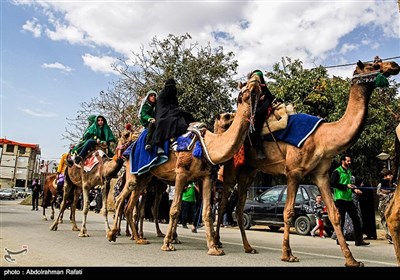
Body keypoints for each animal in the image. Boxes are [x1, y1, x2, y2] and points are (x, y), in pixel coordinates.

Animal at [107, 75, 262, 256]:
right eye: (244, 87)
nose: (256, 79)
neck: (208, 145)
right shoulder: (181, 173)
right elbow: (174, 210)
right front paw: (167, 244)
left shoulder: (206, 177)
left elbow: (207, 212)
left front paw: (213, 247)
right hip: (134, 171)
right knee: (123, 199)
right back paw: (113, 234)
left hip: (146, 178)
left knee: (132, 206)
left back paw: (139, 238)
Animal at [214, 57, 398, 266]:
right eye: (373, 65)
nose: (394, 66)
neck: (323, 137)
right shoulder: (293, 171)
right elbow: (288, 212)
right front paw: (287, 254)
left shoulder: (321, 174)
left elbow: (334, 214)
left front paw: (351, 259)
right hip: (231, 166)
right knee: (223, 203)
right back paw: (218, 243)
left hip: (249, 170)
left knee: (239, 207)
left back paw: (248, 247)